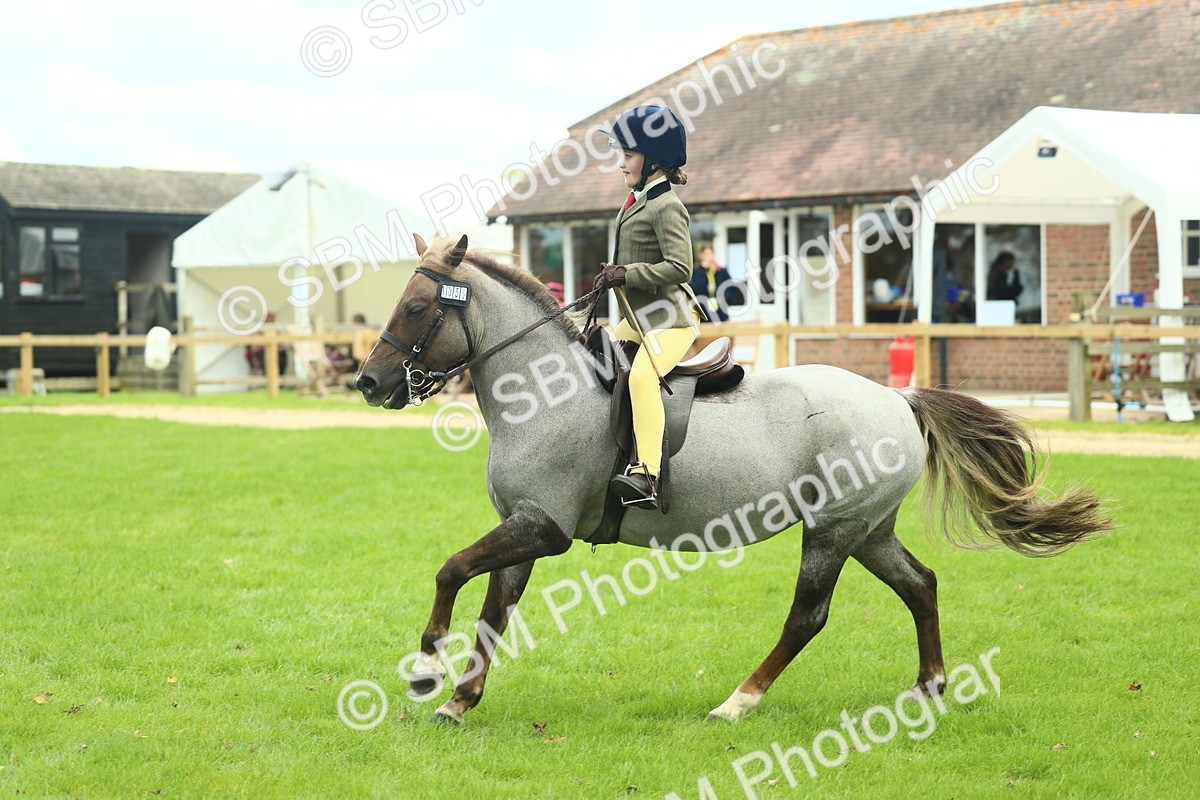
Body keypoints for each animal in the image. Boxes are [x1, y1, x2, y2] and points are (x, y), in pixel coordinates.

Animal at [354, 234, 1114, 725]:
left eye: (417, 309)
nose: (367, 382)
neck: (543, 392)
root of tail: (897, 398)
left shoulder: (543, 528)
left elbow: (452, 570)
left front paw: (426, 670)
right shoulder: (524, 527)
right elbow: (492, 611)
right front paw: (459, 700)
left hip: (832, 531)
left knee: (808, 615)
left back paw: (738, 701)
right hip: (868, 530)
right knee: (919, 585)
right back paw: (929, 687)